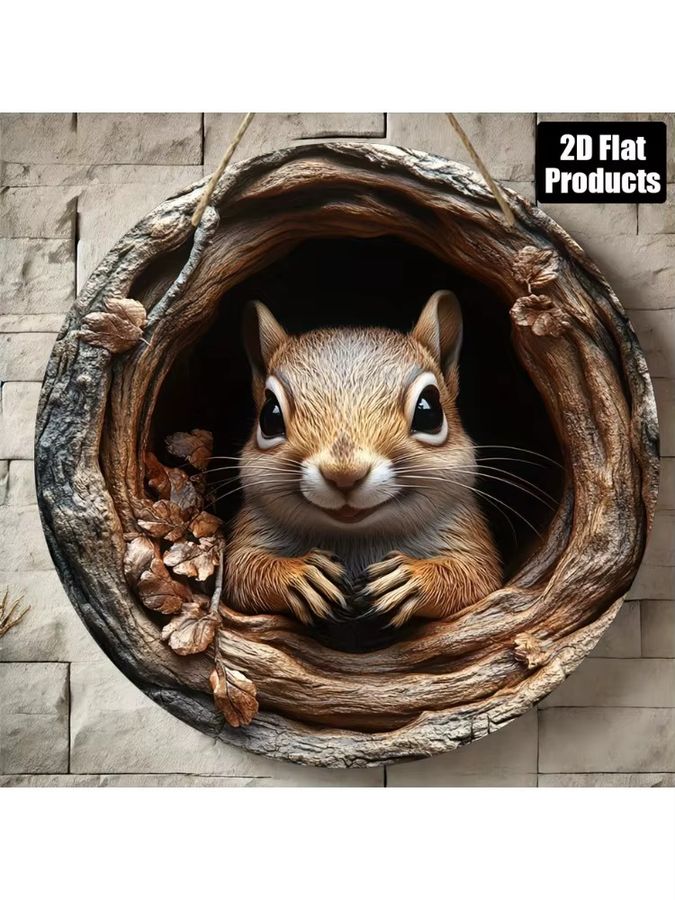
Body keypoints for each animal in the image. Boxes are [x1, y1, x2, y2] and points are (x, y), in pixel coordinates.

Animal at [224, 291, 502, 629]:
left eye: (429, 411)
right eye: (270, 417)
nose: (344, 474)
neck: (357, 536)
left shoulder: (467, 533)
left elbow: (476, 575)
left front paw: (410, 579)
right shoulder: (251, 531)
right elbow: (242, 571)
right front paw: (302, 575)